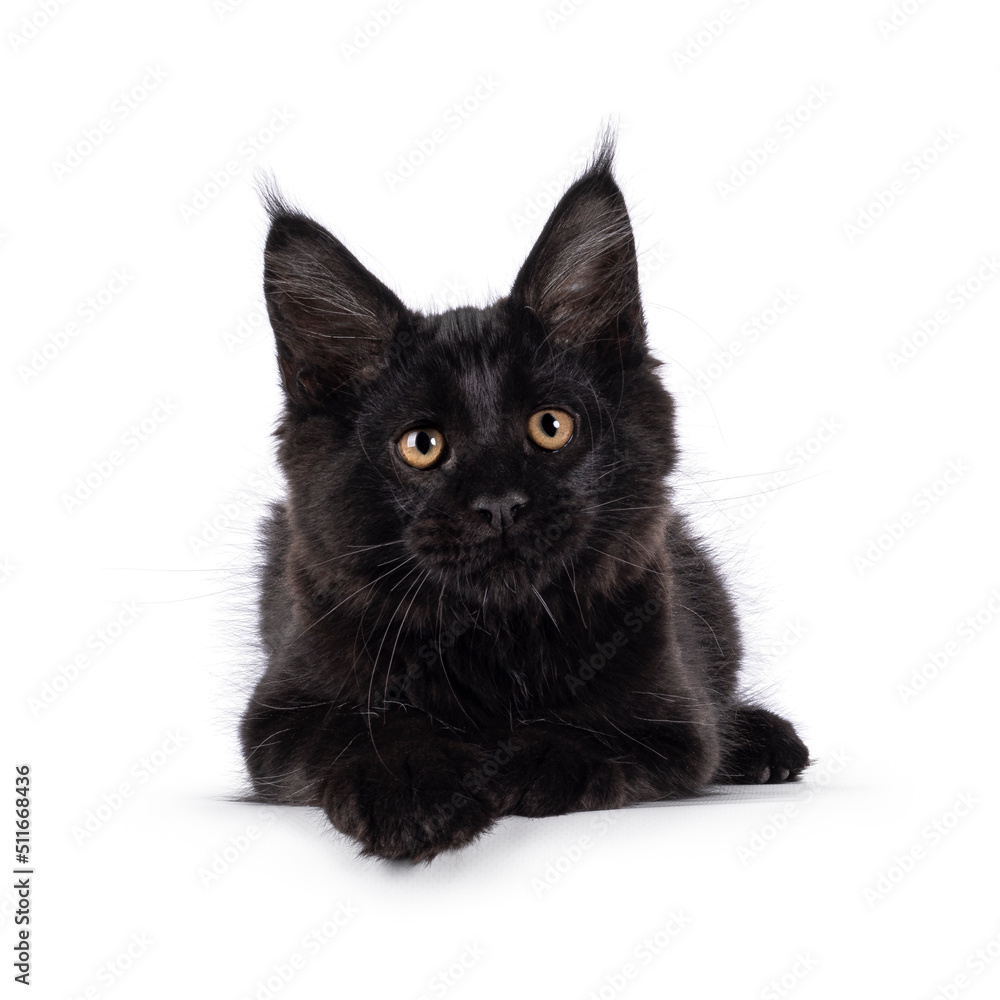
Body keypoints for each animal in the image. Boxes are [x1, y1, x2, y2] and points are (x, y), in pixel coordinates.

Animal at [238, 139, 808, 860]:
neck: (495, 638)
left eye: (551, 426)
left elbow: (580, 732)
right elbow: (373, 732)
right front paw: (417, 791)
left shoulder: (673, 719)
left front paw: (509, 766)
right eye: (421, 444)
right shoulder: (281, 715)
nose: (501, 503)